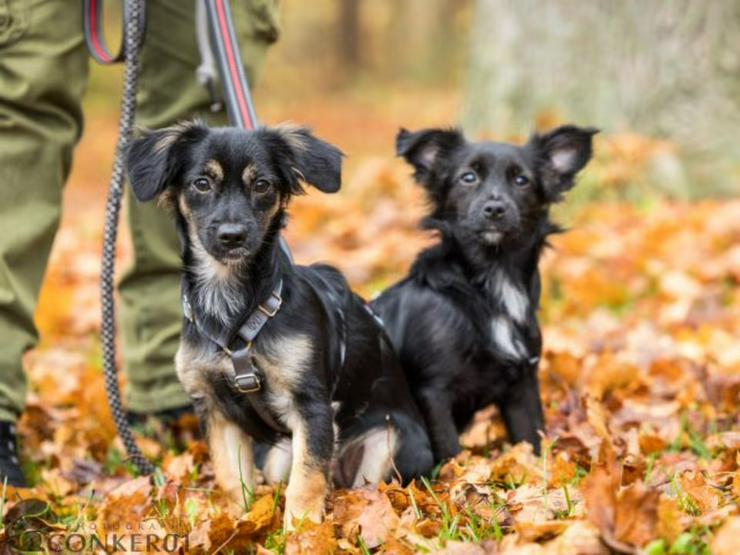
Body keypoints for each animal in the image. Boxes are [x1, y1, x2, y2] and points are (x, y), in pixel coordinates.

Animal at [124, 124, 430, 528]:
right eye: (201, 183)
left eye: (262, 184)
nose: (232, 235)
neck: (232, 306)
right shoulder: (216, 410)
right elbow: (231, 479)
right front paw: (236, 524)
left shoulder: (312, 406)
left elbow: (307, 480)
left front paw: (300, 532)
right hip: (277, 457)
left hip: (388, 442)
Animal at [370, 125, 596, 460]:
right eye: (468, 177)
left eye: (521, 180)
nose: (495, 209)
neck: (492, 280)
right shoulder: (432, 392)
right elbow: (450, 453)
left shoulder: (522, 386)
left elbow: (532, 440)